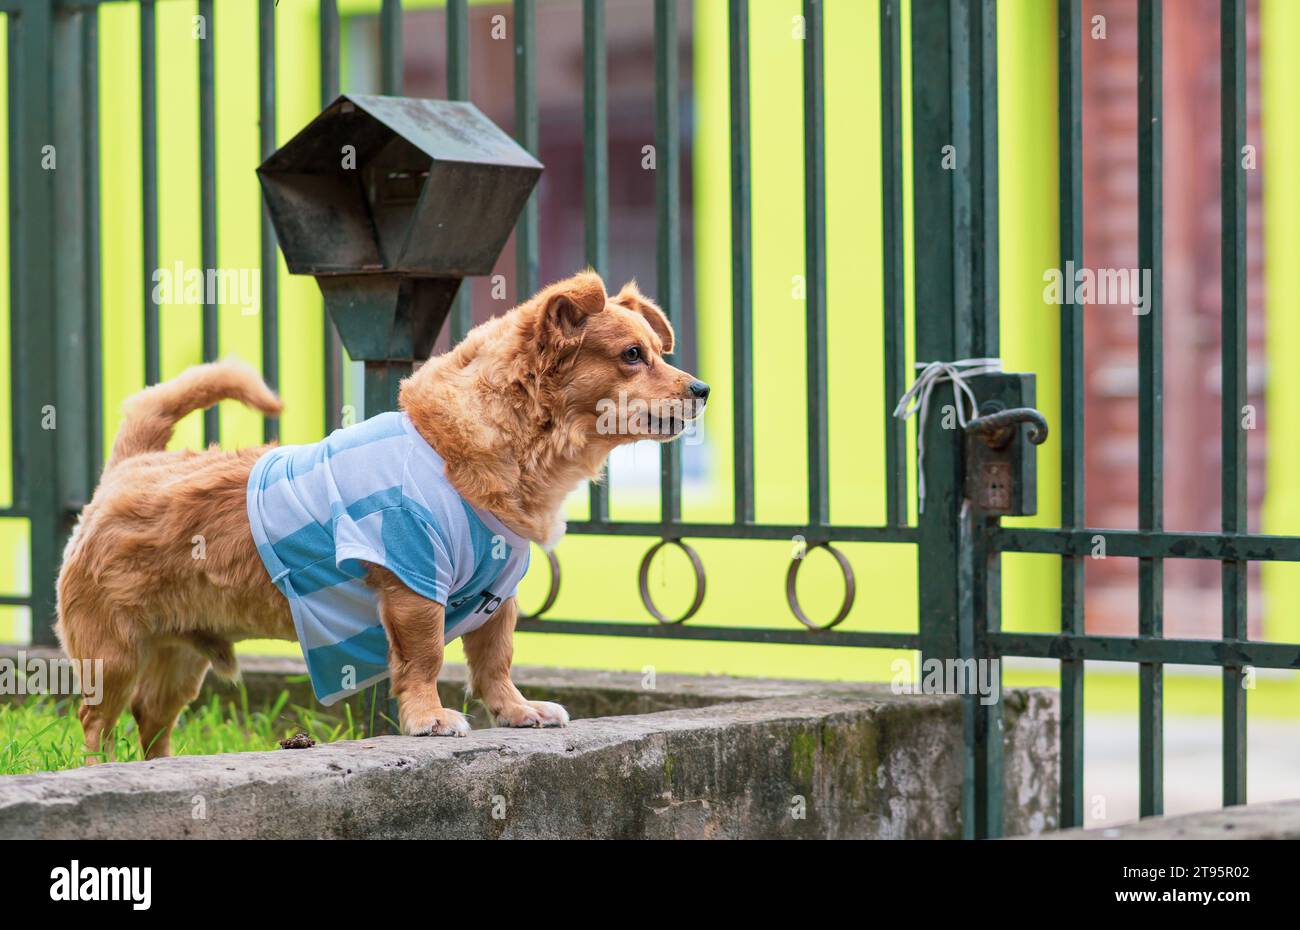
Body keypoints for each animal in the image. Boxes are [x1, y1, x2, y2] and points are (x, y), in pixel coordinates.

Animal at [58, 270, 712, 764]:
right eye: (632, 356)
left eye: (661, 353)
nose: (702, 389)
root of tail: (130, 464)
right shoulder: (413, 581)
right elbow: (425, 658)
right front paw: (428, 718)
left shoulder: (498, 597)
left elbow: (494, 661)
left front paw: (516, 711)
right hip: (112, 658)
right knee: (96, 724)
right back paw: (100, 770)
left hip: (178, 662)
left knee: (151, 724)